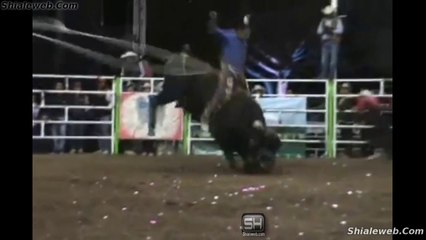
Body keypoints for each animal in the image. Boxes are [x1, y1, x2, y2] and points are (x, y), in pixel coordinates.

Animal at [148, 71, 282, 172]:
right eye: (256, 144)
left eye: (274, 148)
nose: (267, 162)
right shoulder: (221, 135)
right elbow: (228, 151)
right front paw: (234, 165)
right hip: (171, 92)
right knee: (155, 99)